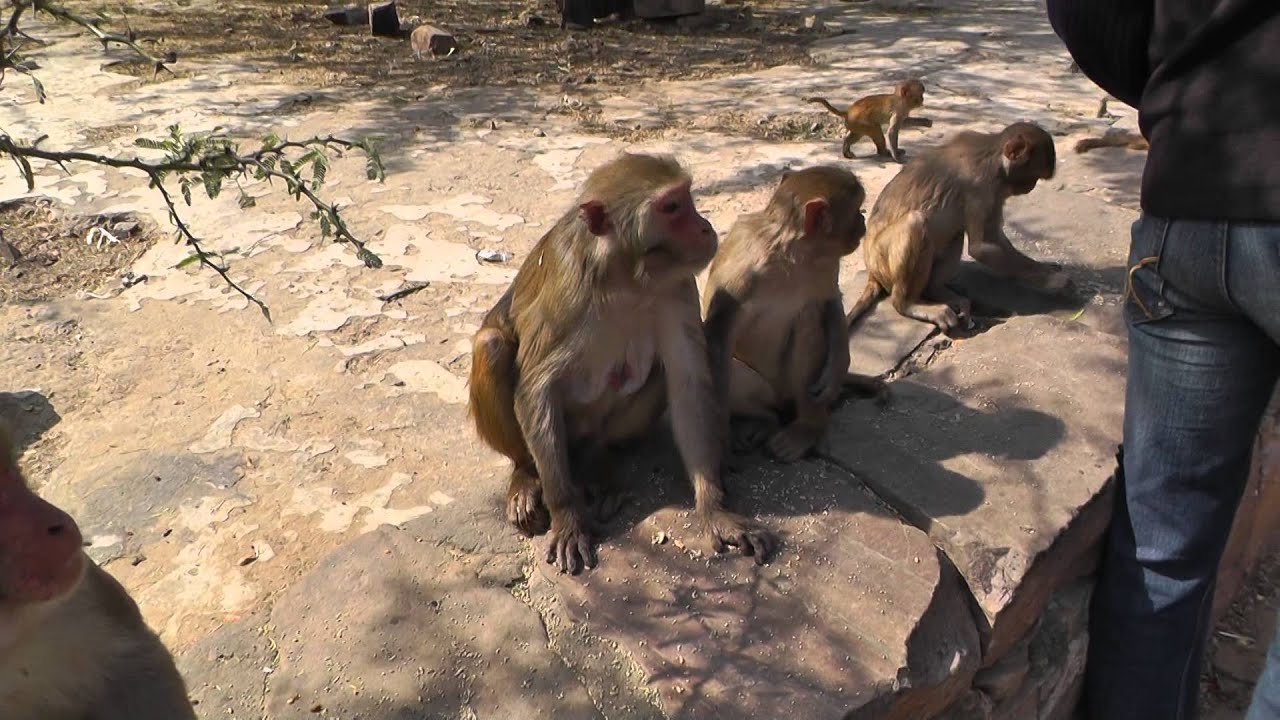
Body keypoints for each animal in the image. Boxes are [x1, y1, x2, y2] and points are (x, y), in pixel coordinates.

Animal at [467, 153, 777, 575]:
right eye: (671, 207)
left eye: (686, 198)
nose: (704, 226)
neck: (624, 276)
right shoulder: (567, 289)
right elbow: (537, 389)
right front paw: (568, 519)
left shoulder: (676, 285)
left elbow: (687, 380)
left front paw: (715, 510)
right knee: (492, 345)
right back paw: (527, 476)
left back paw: (603, 466)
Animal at [702, 166, 886, 463]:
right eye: (856, 208)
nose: (863, 219)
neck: (793, 254)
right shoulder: (741, 275)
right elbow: (718, 339)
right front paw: (720, 442)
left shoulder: (825, 262)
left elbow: (828, 299)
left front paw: (837, 368)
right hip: (769, 392)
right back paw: (763, 422)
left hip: (790, 388)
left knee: (808, 319)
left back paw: (807, 427)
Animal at [845, 121, 1072, 333]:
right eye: (1032, 177)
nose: (1031, 187)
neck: (993, 157)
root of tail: (871, 269)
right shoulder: (981, 186)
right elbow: (983, 247)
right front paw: (1054, 280)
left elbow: (992, 239)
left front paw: (1047, 269)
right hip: (882, 261)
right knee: (916, 222)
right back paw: (908, 304)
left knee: (954, 232)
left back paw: (938, 291)